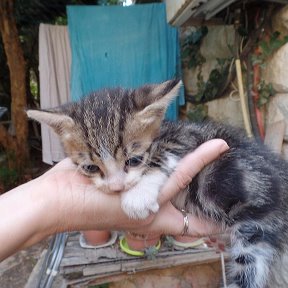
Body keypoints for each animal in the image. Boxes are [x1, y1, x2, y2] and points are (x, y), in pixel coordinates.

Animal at [27, 79, 286, 288]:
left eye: (134, 160)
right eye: (91, 168)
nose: (116, 187)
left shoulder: (188, 136)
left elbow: (162, 154)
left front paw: (138, 196)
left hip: (252, 222)